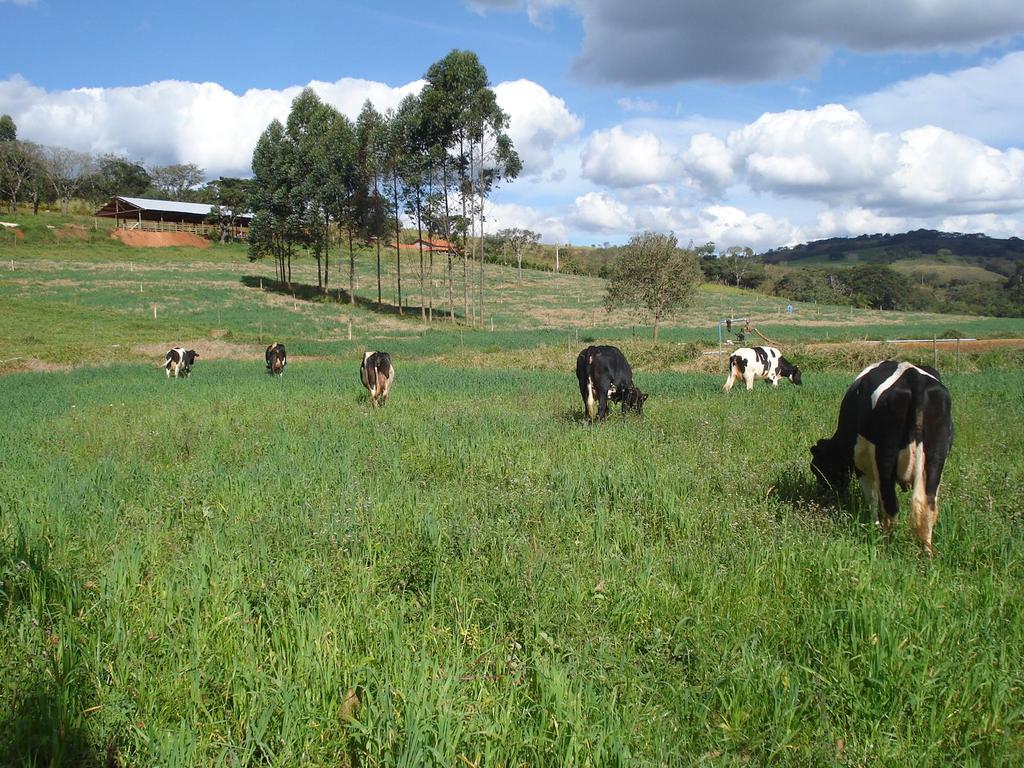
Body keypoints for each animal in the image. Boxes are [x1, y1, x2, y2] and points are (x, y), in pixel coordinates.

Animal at [811, 362, 954, 561]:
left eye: (817, 469)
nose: (821, 493)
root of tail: (914, 377)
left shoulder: (862, 466)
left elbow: (872, 498)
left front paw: (874, 524)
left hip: (885, 457)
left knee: (891, 504)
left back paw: (887, 546)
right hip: (935, 459)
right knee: (928, 506)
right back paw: (927, 552)